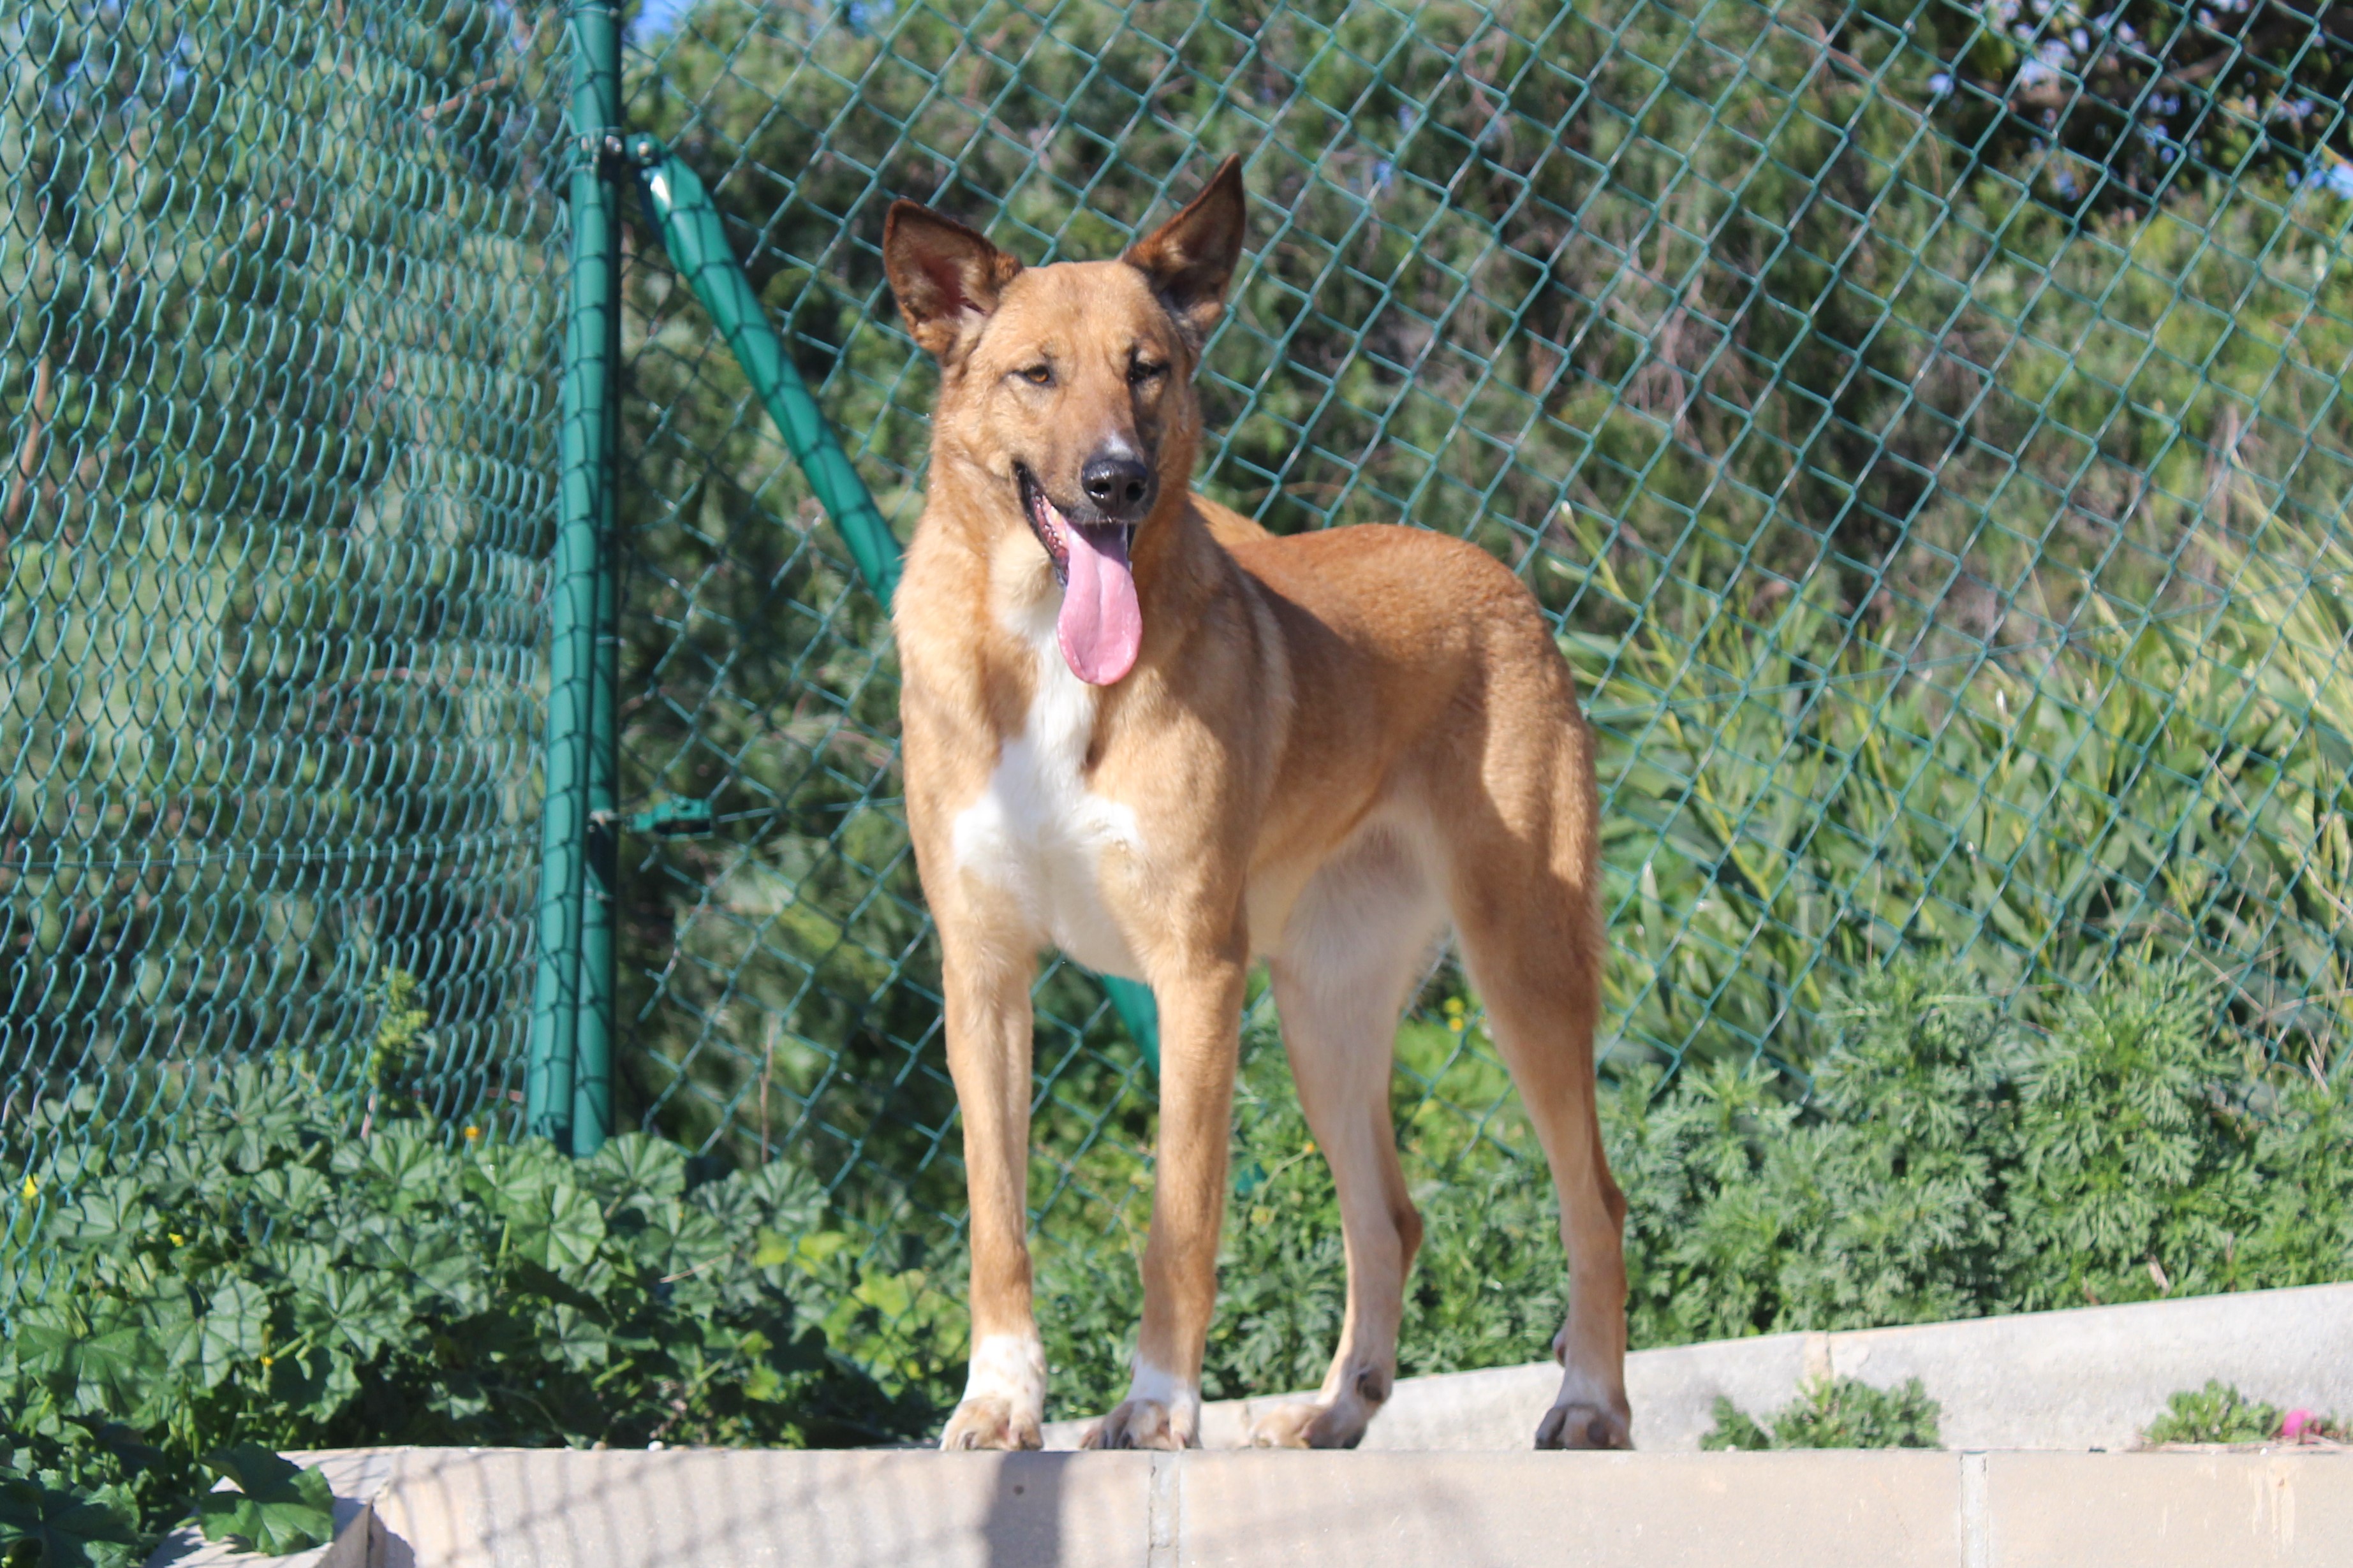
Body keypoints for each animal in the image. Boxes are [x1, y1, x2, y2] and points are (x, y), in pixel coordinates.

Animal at [885, 152, 1637, 1457]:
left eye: (1147, 367)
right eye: (1037, 373)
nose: (1117, 480)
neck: (1041, 646)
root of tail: (1502, 579)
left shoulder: (1195, 970)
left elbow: (1178, 1219)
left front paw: (1155, 1407)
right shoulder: (981, 972)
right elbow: (996, 1224)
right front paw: (999, 1399)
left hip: (1522, 970)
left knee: (1591, 1196)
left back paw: (1588, 1399)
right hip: (1322, 1013)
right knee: (1389, 1215)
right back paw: (1337, 1409)